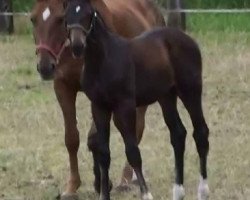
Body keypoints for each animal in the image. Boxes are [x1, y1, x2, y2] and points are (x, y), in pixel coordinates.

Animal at [30, 0, 165, 198]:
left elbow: (94, 139)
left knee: (136, 129)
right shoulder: (63, 87)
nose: (45, 66)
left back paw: (126, 179)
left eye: (60, 19)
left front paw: (101, 183)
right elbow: (72, 138)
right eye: (33, 19)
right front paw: (72, 186)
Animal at [66, 0, 209, 200]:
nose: (77, 46)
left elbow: (132, 151)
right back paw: (178, 191)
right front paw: (104, 194)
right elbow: (104, 153)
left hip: (190, 91)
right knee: (178, 134)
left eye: (89, 14)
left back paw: (202, 190)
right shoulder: (99, 107)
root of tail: (187, 39)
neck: (103, 60)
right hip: (166, 96)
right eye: (66, 16)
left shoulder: (124, 107)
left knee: (201, 132)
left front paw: (146, 194)